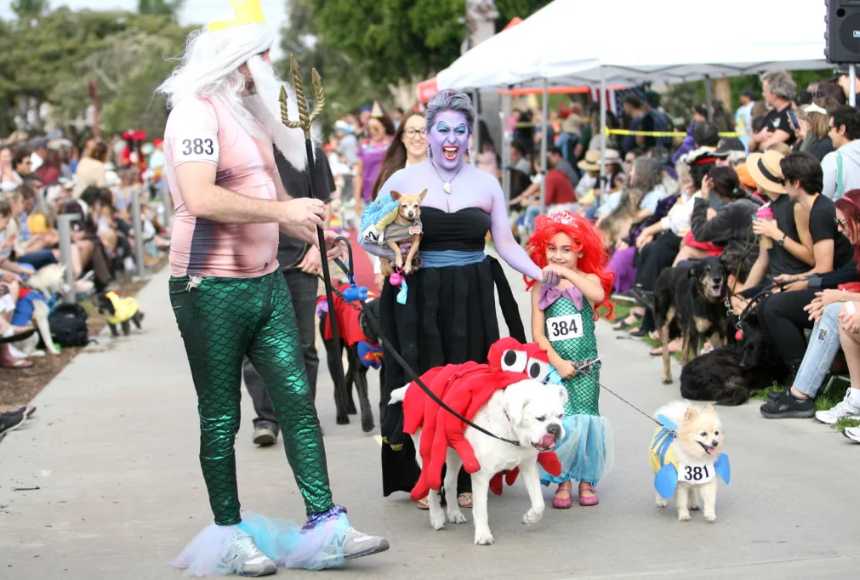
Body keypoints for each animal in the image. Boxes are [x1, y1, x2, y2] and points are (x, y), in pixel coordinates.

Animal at [656, 258, 728, 386]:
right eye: (707, 269)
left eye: (721, 268)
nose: (717, 279)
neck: (710, 304)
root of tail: (666, 270)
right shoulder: (697, 333)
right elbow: (695, 356)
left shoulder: (721, 333)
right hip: (666, 322)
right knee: (667, 352)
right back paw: (667, 376)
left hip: (689, 329)